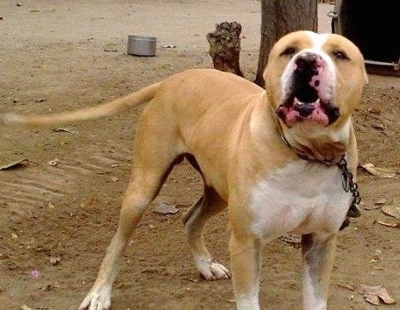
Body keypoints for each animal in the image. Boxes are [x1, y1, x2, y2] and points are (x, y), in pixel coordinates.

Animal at [0, 32, 368, 310]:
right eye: (288, 50)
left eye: (340, 54)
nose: (306, 61)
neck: (306, 152)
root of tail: (173, 79)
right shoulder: (246, 241)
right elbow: (248, 299)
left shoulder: (321, 242)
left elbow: (316, 299)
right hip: (144, 185)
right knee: (117, 242)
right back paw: (100, 293)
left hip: (219, 190)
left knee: (190, 219)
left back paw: (204, 266)